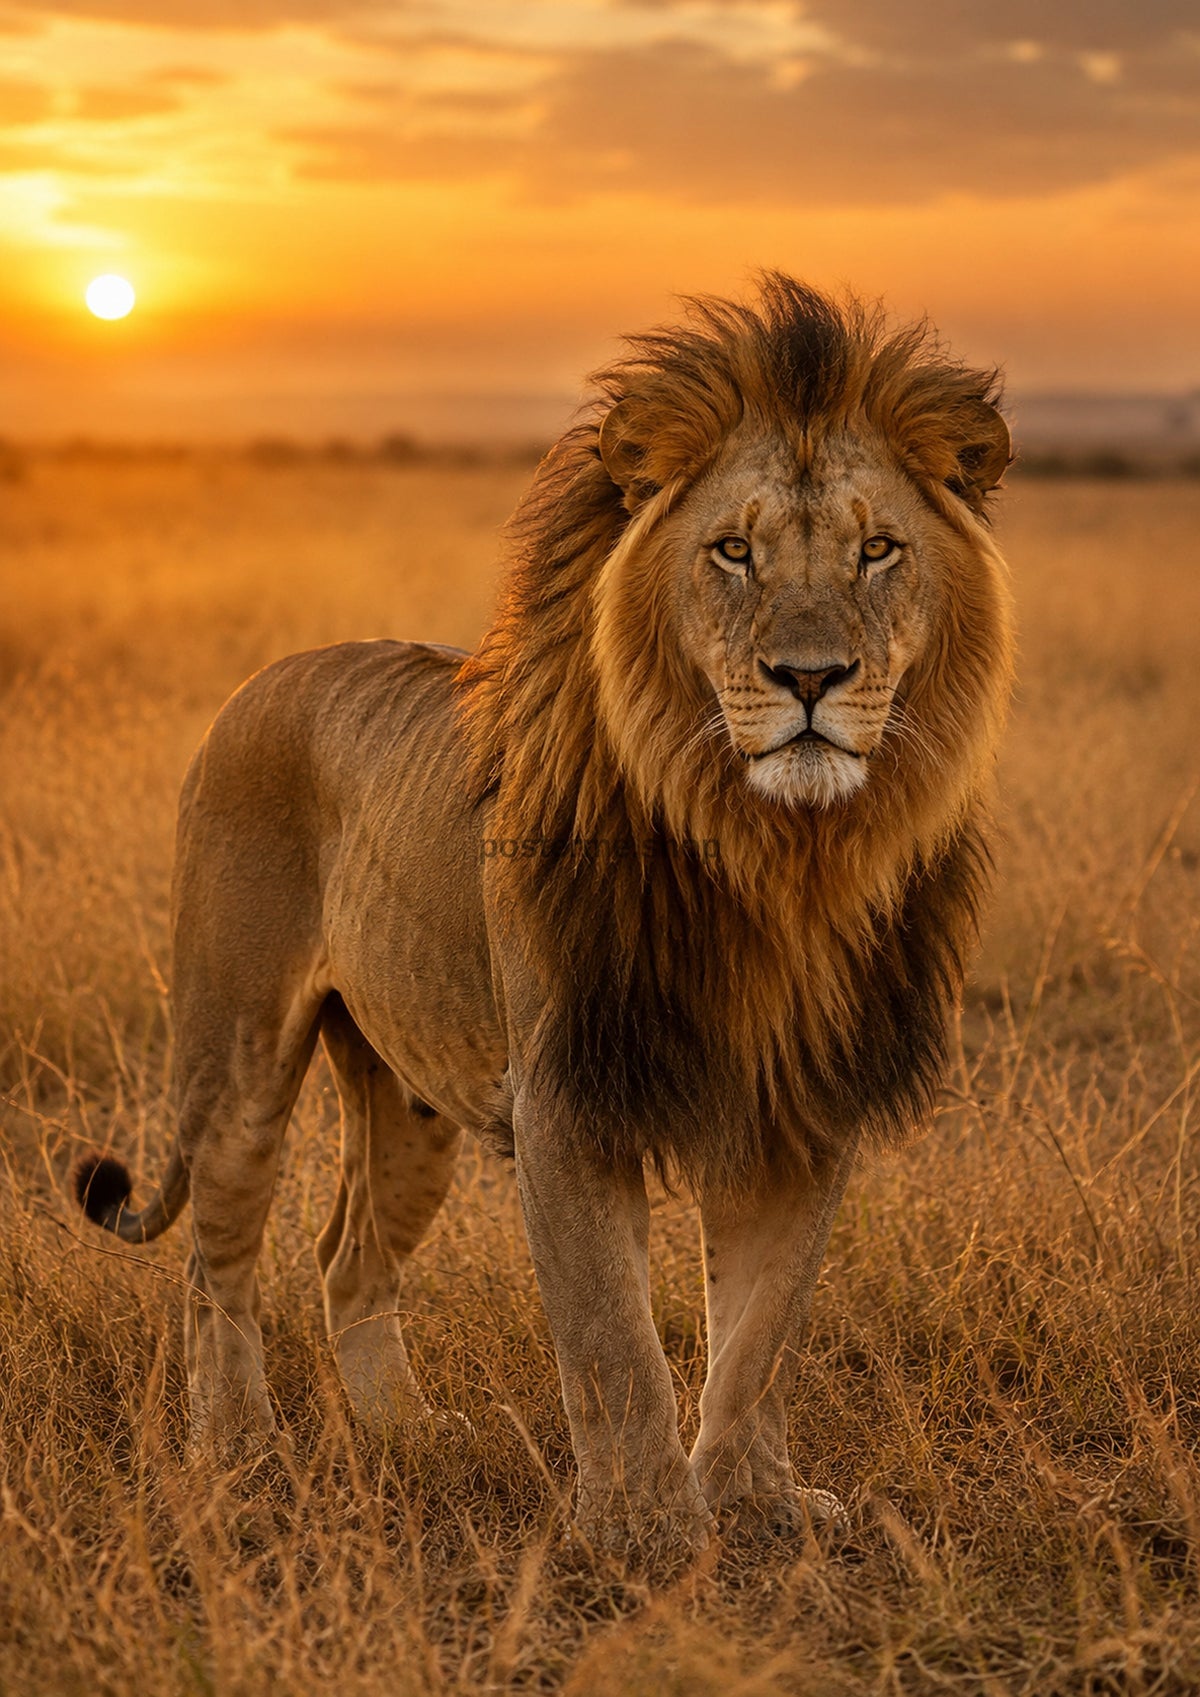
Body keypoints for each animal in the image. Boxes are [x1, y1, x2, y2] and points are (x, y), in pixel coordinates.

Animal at [75, 275, 1013, 1554]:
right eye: (733, 551)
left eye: (879, 551)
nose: (810, 678)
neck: (776, 857)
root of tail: (264, 680)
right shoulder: (570, 1095)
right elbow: (615, 1340)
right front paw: (647, 1531)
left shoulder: (800, 1106)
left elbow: (759, 1335)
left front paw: (758, 1502)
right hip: (238, 1053)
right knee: (216, 1262)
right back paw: (239, 1454)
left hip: (410, 1095)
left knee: (346, 1257)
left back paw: (412, 1438)